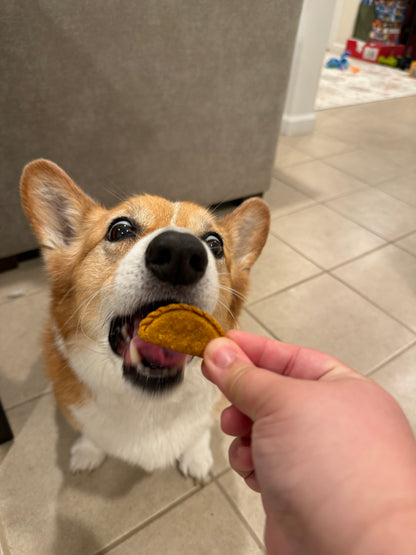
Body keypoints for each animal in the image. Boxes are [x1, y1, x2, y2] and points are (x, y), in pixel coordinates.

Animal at [20, 161, 270, 482]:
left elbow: (200, 431)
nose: (180, 252)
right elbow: (90, 434)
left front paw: (197, 457)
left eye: (215, 244)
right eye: (120, 229)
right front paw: (87, 452)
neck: (149, 404)